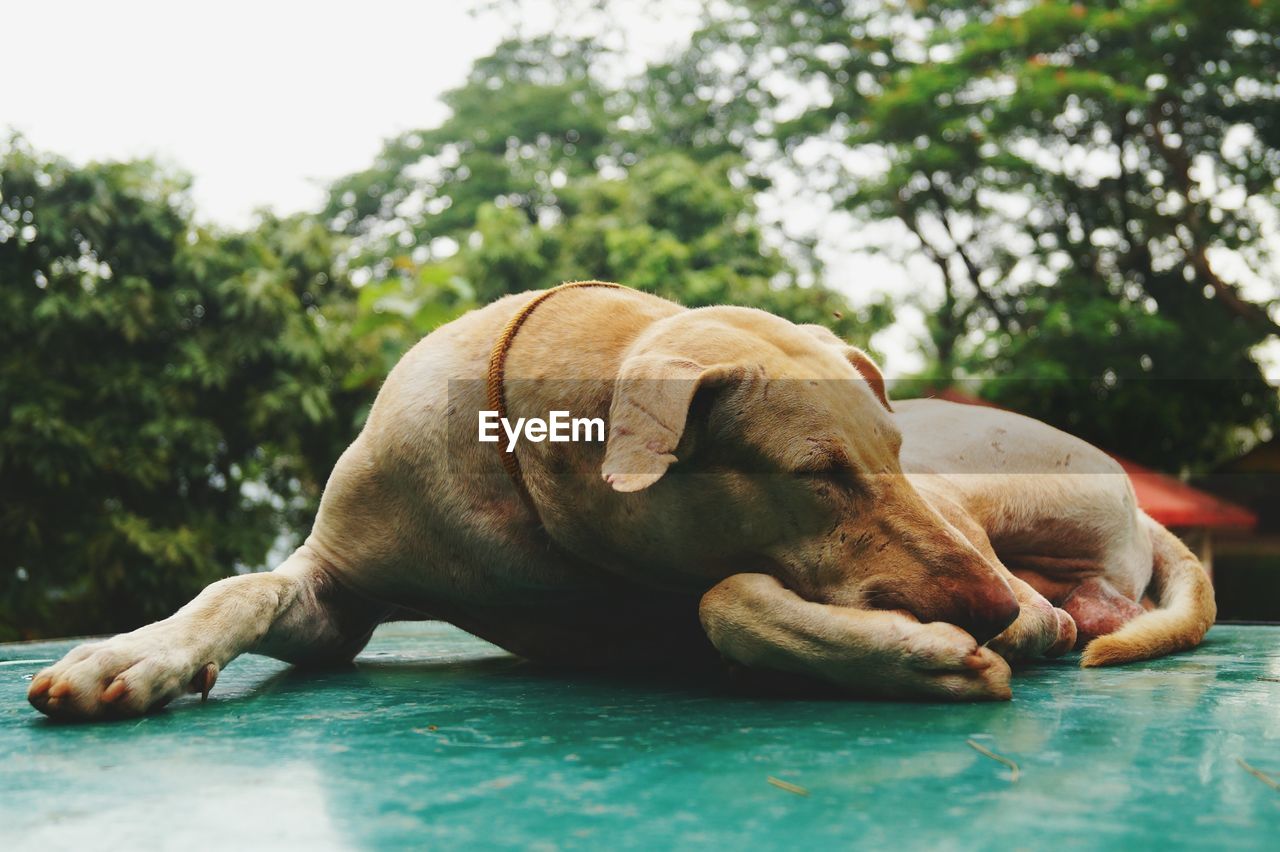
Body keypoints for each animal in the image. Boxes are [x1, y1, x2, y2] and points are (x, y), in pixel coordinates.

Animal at [27, 285, 1208, 716]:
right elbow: (247, 589)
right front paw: (135, 651)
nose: (987, 612)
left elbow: (724, 601)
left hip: (981, 484)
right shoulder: (335, 586)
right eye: (818, 475)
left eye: (889, 456)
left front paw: (918, 657)